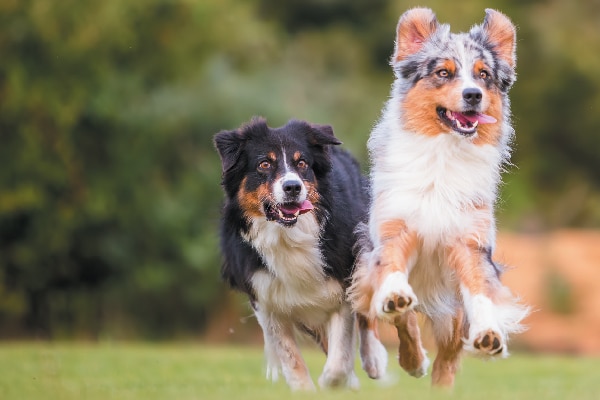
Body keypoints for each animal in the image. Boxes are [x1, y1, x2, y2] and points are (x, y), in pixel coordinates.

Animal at [213, 117, 386, 390]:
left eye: (302, 163)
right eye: (264, 164)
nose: (293, 186)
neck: (288, 235)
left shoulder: (341, 285)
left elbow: (340, 354)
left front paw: (334, 380)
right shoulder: (265, 298)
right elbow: (290, 357)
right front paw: (305, 389)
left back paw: (374, 361)